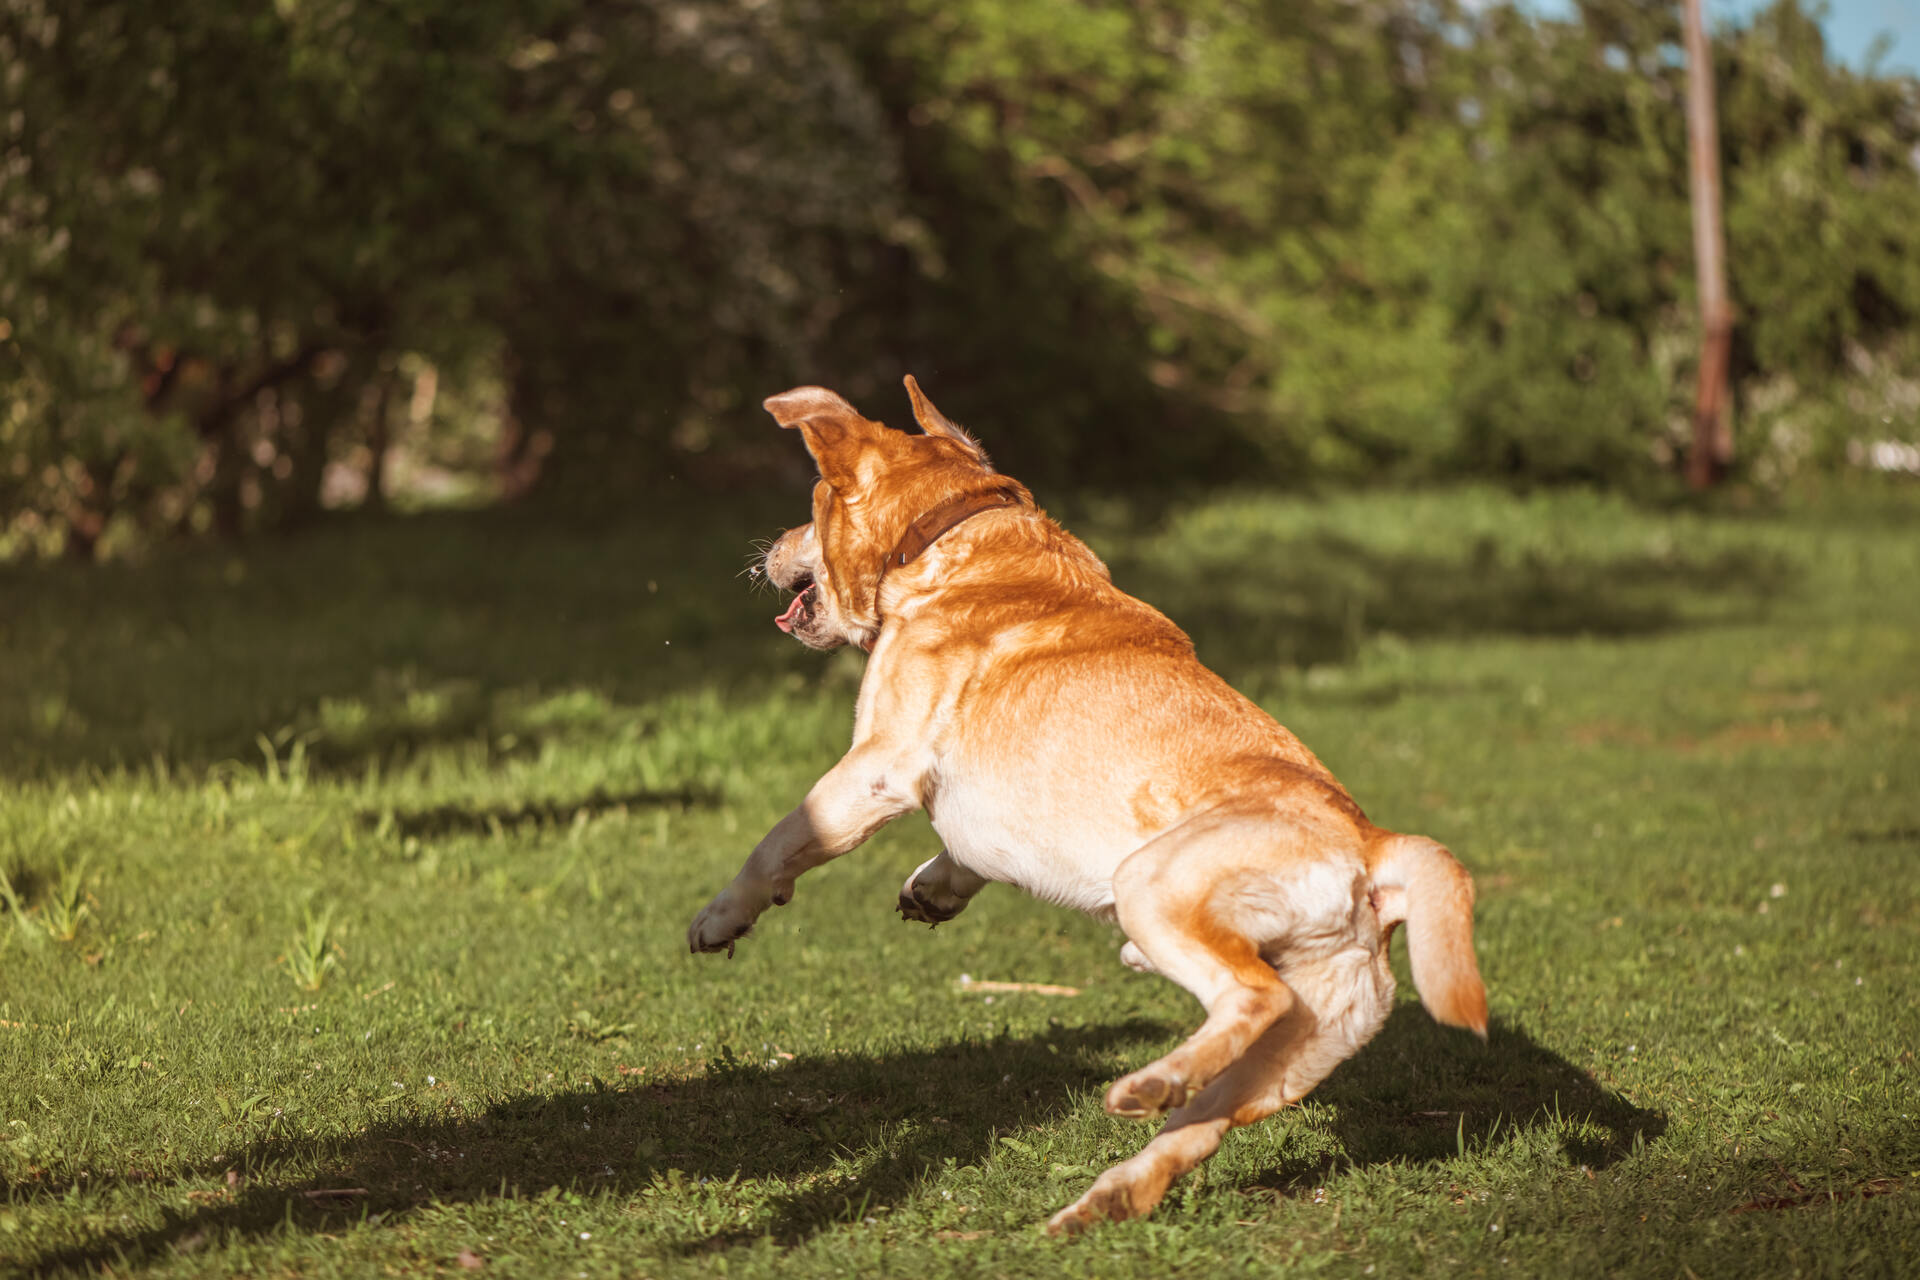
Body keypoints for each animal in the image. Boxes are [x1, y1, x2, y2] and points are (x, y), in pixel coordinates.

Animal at [691, 378, 1482, 1228]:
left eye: (810, 506)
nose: (768, 547)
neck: (948, 536)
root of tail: (1373, 843)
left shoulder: (879, 766)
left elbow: (776, 845)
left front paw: (719, 920)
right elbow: (959, 858)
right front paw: (933, 890)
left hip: (1153, 888)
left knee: (1249, 998)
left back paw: (1147, 1083)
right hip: (1299, 1043)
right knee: (1200, 1121)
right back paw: (1109, 1191)